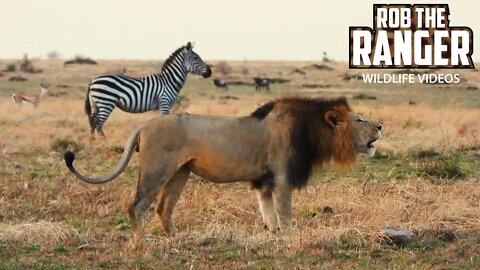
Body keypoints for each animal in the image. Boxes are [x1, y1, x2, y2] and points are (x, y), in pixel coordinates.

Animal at [64, 96, 382, 237]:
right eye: (360, 120)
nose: (380, 125)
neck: (312, 132)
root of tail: (144, 125)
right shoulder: (281, 176)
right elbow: (285, 211)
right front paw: (291, 235)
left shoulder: (264, 181)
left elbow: (268, 212)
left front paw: (273, 233)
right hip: (157, 169)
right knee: (137, 205)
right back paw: (142, 241)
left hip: (180, 173)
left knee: (163, 208)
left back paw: (177, 238)